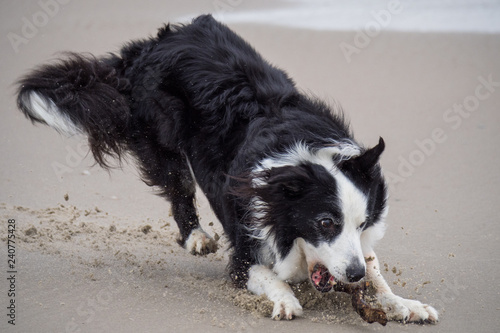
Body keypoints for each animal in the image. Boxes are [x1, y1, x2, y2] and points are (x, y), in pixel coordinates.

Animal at [15, 14, 438, 322]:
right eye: (325, 223)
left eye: (363, 223)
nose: (353, 275)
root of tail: (149, 45)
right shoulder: (247, 240)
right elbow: (258, 271)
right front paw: (285, 300)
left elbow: (377, 273)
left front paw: (407, 305)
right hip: (161, 136)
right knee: (178, 184)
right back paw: (196, 236)